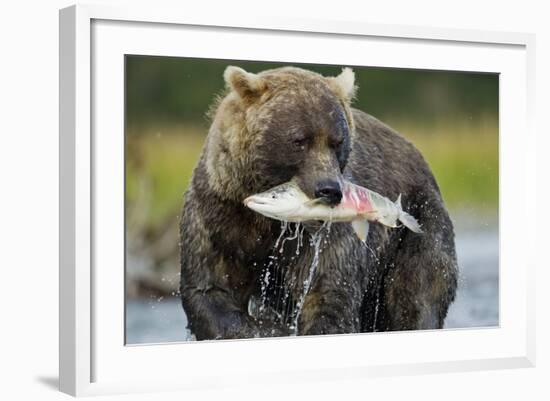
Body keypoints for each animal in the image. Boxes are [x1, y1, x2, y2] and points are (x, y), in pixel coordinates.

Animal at [179, 65, 460, 338]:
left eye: (337, 142)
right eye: (299, 140)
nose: (329, 189)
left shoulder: (325, 236)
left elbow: (328, 294)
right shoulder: (219, 214)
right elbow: (211, 289)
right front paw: (270, 329)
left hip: (418, 223)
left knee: (416, 293)